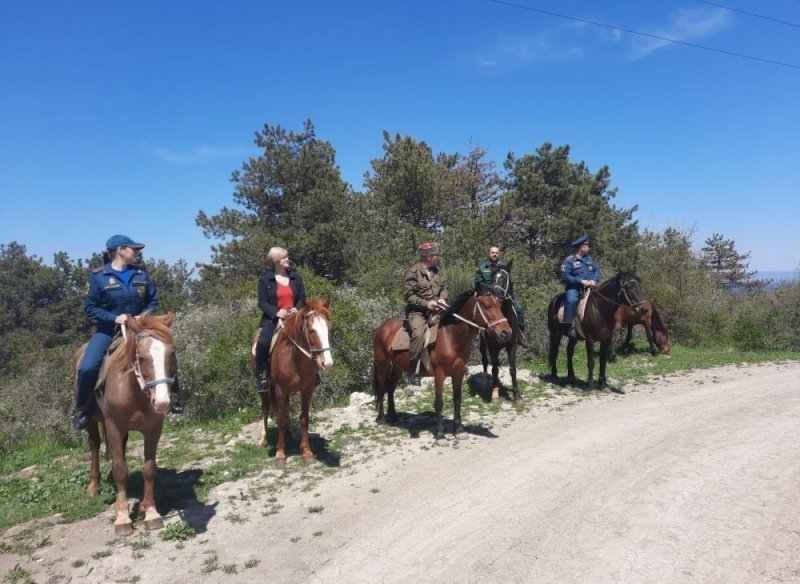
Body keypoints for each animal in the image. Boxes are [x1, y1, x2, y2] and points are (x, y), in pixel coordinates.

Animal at [72, 312, 177, 536]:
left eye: (171, 354)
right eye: (142, 357)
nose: (162, 402)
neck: (134, 390)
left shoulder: (153, 429)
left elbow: (149, 468)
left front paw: (150, 511)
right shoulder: (113, 425)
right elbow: (120, 470)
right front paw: (122, 518)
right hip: (92, 421)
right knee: (94, 445)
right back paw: (93, 486)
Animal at [245, 298, 330, 464]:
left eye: (329, 328)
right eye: (311, 330)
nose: (327, 363)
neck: (294, 357)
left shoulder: (307, 390)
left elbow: (304, 418)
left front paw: (307, 451)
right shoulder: (280, 389)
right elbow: (281, 419)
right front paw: (280, 453)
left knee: (285, 407)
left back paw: (291, 434)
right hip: (264, 385)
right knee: (266, 408)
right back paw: (263, 439)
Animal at [370, 288, 510, 438]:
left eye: (499, 305)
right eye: (487, 306)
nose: (506, 332)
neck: (451, 337)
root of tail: (381, 327)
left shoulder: (458, 373)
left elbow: (457, 400)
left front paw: (459, 429)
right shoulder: (439, 373)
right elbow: (439, 403)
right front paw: (440, 434)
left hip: (397, 367)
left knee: (390, 388)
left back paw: (394, 417)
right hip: (382, 364)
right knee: (382, 389)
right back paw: (382, 420)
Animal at [476, 262, 524, 404]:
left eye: (504, 278)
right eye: (492, 279)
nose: (496, 296)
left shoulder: (512, 345)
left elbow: (512, 369)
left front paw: (517, 395)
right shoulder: (493, 347)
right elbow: (494, 368)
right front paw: (495, 394)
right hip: (482, 345)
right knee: (485, 362)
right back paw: (486, 385)